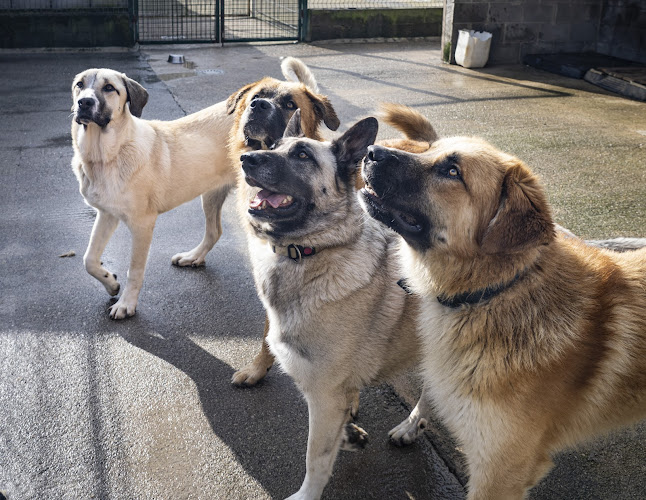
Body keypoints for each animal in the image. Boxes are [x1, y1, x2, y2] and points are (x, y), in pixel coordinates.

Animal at [70, 58, 336, 318]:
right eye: (79, 85)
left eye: (109, 88)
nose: (84, 103)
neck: (107, 155)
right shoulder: (107, 214)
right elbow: (88, 259)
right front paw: (110, 282)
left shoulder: (142, 224)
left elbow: (134, 270)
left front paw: (126, 303)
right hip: (210, 194)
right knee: (214, 231)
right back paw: (194, 256)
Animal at [362, 123, 646, 498]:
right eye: (429, 149)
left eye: (452, 172)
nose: (370, 152)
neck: (497, 291)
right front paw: (412, 425)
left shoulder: (499, 470)